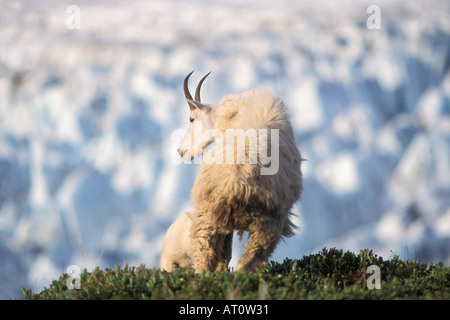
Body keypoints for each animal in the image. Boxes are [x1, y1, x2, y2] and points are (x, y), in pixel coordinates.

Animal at [176, 71, 302, 272]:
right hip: (265, 223)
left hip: (213, 215)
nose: (180, 151)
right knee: (247, 261)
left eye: (191, 119)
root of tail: (236, 182)